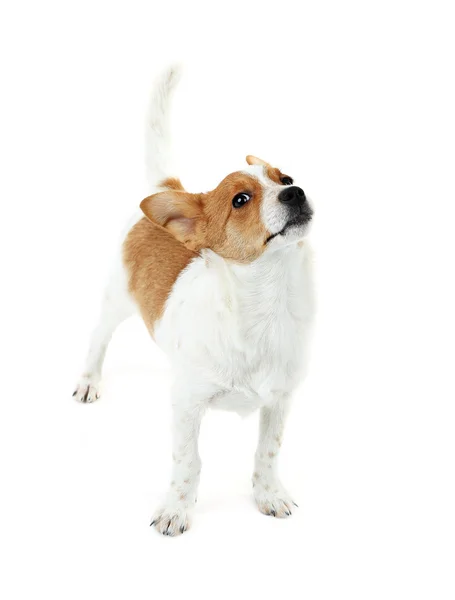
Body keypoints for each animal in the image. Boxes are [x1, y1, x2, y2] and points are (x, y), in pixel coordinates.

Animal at [74, 65, 318, 536]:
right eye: (241, 200)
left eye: (285, 178)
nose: (296, 191)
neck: (265, 303)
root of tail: (168, 186)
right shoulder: (186, 407)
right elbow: (188, 461)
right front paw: (176, 508)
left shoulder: (279, 402)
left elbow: (267, 452)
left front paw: (268, 495)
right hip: (116, 299)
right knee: (97, 336)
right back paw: (89, 380)